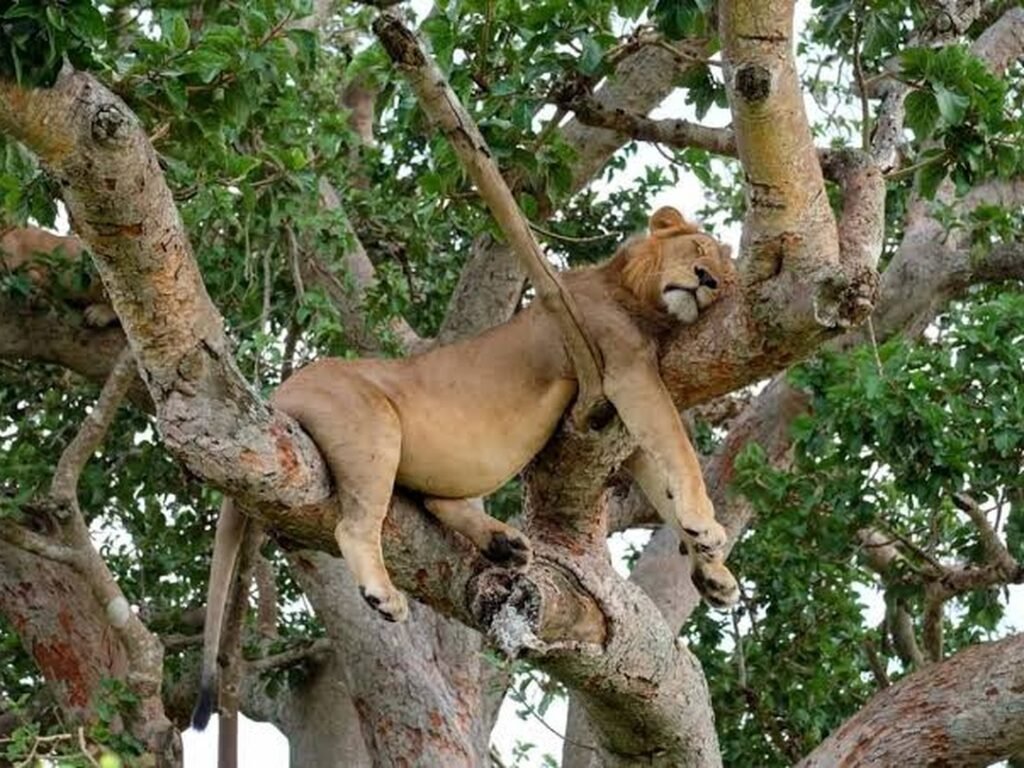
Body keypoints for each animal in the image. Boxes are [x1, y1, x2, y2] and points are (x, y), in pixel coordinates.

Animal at [192, 206, 740, 729]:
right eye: (698, 249)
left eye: (725, 276)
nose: (707, 281)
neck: (634, 293)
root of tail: (279, 392)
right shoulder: (625, 371)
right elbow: (679, 451)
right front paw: (707, 525)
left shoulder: (620, 428)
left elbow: (663, 484)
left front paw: (712, 570)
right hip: (373, 424)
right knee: (356, 524)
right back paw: (385, 593)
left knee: (432, 499)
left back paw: (504, 543)